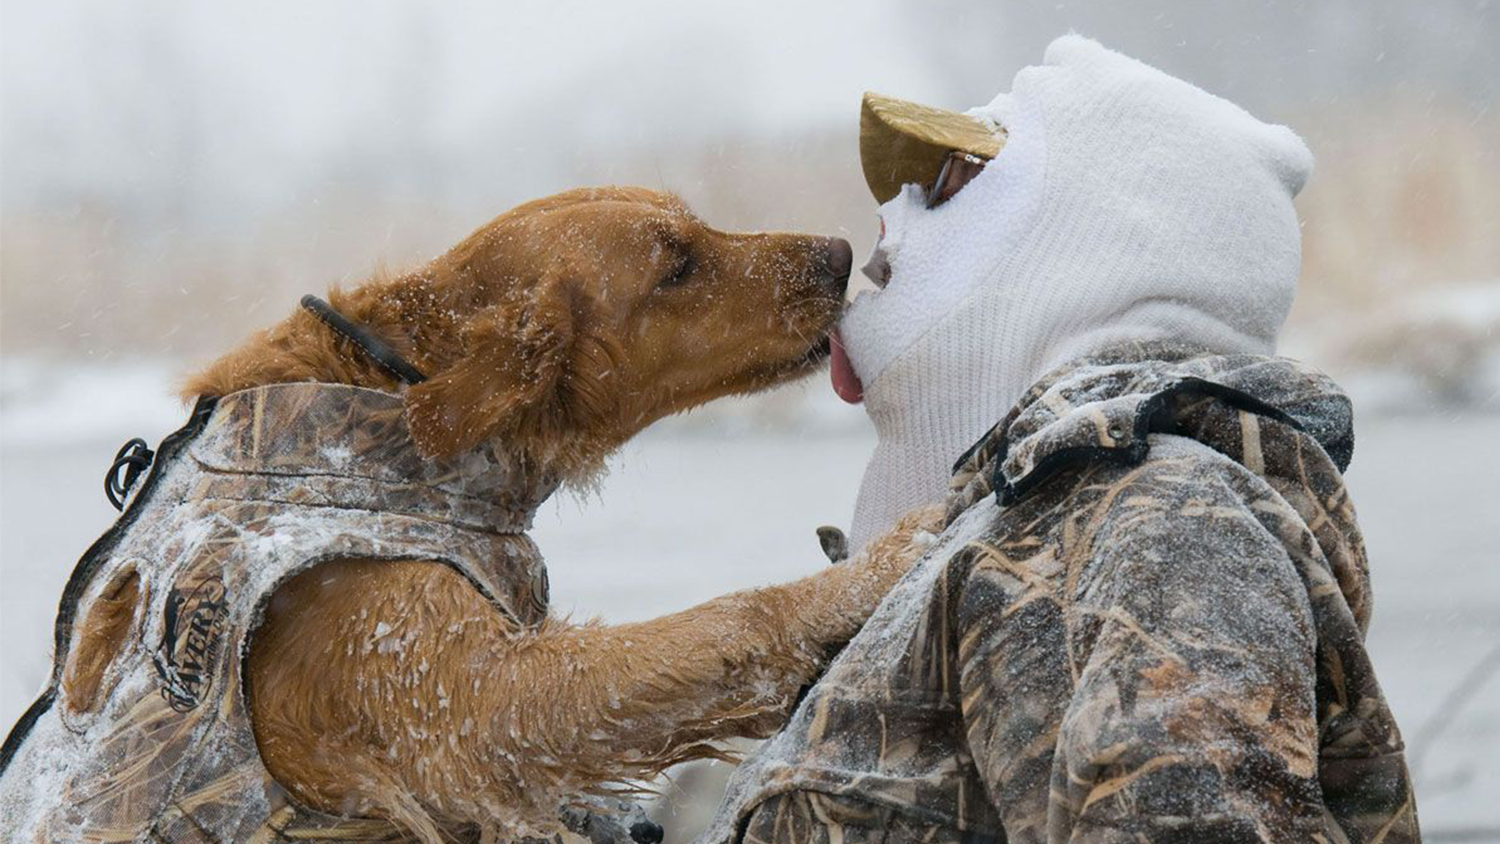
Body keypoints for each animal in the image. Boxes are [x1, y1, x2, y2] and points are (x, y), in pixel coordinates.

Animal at [64, 188, 930, 839]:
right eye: (676, 265)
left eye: (700, 225)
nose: (840, 255)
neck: (398, 402)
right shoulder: (473, 701)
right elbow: (723, 620)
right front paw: (875, 567)